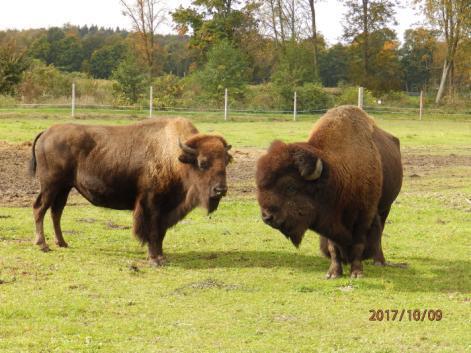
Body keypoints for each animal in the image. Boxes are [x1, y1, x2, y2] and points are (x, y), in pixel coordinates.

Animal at [29, 117, 232, 266]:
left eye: (226, 161)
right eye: (202, 163)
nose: (220, 189)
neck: (175, 158)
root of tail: (46, 132)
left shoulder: (166, 209)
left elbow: (161, 233)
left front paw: (161, 257)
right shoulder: (151, 205)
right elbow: (152, 231)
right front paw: (154, 259)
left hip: (64, 188)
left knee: (56, 212)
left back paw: (62, 243)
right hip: (50, 185)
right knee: (40, 208)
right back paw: (43, 245)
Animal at [256, 104, 404, 278]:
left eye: (290, 187)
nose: (267, 217)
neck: (337, 172)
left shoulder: (364, 216)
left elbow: (359, 244)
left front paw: (357, 272)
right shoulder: (329, 220)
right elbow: (333, 247)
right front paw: (333, 273)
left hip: (385, 207)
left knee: (380, 232)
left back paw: (379, 261)